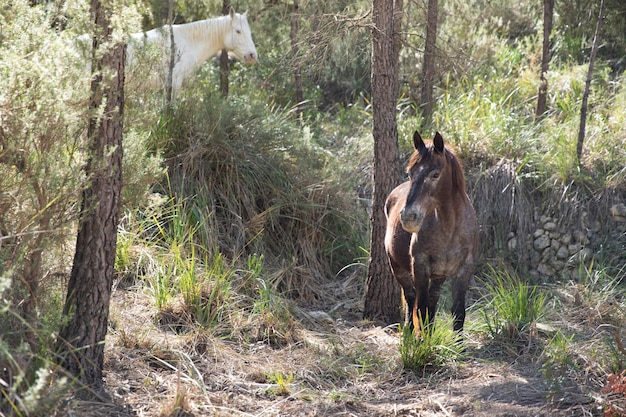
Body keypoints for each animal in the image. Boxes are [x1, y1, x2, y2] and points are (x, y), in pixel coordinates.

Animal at [380, 132, 478, 334]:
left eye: (435, 174)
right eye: (410, 173)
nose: (408, 216)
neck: (450, 228)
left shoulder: (465, 269)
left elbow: (458, 312)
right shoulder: (420, 267)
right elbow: (421, 308)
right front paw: (422, 341)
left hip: (439, 275)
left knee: (432, 300)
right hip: (397, 267)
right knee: (411, 299)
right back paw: (410, 332)